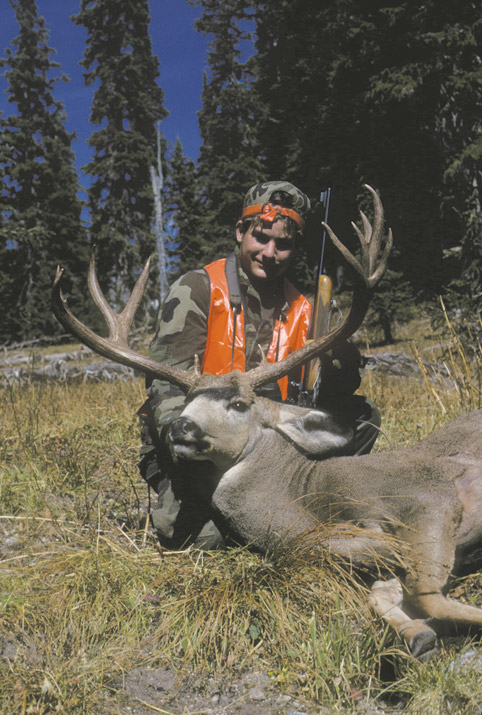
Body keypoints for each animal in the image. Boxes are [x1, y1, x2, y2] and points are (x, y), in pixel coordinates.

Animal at [52, 187, 482, 656]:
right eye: (188, 400)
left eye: (240, 404)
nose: (180, 428)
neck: (306, 501)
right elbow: (386, 591)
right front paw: (417, 635)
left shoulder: (428, 494)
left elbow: (425, 594)